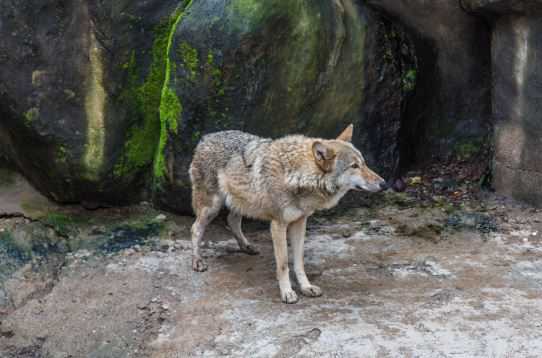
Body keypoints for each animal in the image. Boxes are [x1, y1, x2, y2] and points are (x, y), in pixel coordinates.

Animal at [189, 124, 388, 304]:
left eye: (364, 163)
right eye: (354, 166)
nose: (384, 184)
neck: (296, 175)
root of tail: (205, 138)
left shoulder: (300, 222)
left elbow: (298, 261)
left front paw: (306, 287)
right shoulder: (278, 225)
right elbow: (284, 263)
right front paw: (287, 293)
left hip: (242, 204)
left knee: (232, 221)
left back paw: (246, 247)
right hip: (211, 207)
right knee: (195, 229)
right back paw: (197, 261)